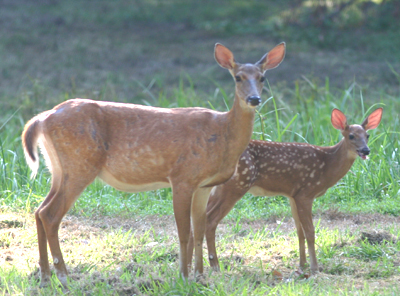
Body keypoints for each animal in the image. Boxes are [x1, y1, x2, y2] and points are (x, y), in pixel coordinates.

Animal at [21, 42, 286, 286]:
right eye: (238, 77)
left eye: (262, 77)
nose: (254, 99)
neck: (222, 135)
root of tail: (42, 118)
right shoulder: (182, 177)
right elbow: (184, 232)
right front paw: (184, 276)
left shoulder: (204, 185)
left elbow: (200, 230)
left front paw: (200, 276)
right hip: (80, 163)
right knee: (50, 214)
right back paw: (64, 277)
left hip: (59, 168)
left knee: (39, 210)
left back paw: (45, 277)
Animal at [189, 106, 382, 276]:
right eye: (351, 136)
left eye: (367, 135)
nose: (366, 150)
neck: (327, 165)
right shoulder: (306, 193)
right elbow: (310, 232)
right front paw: (314, 268)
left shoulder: (292, 194)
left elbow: (299, 231)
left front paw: (302, 265)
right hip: (237, 185)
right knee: (211, 219)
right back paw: (214, 265)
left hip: (219, 188)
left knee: (199, 218)